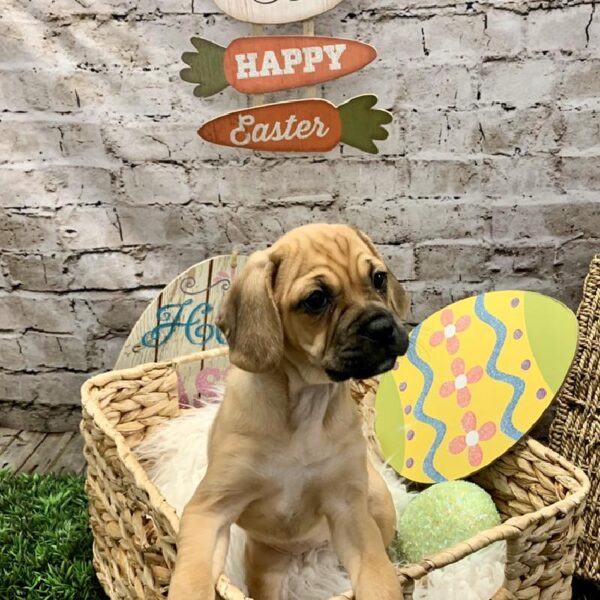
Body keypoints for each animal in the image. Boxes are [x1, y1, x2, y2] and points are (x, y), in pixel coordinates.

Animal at [169, 225, 412, 600]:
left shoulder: (349, 512)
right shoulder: (209, 510)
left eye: (379, 278)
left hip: (377, 505)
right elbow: (190, 579)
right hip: (263, 564)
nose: (382, 328)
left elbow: (378, 575)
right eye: (316, 299)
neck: (305, 405)